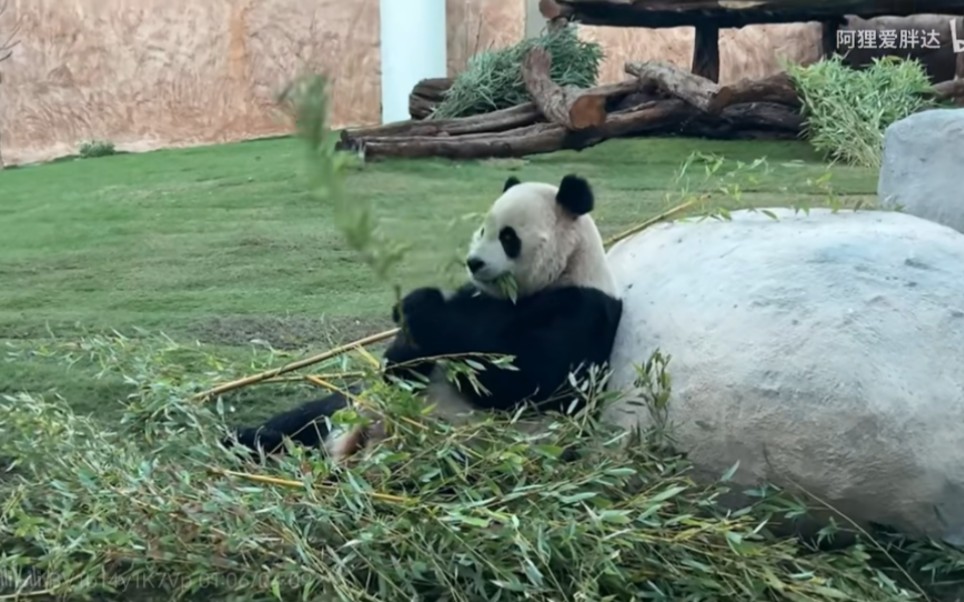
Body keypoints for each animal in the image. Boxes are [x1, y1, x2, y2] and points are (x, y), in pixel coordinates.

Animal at [222, 171, 620, 462]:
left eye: (508, 237)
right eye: (482, 229)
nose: (474, 262)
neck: (565, 269)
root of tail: (352, 447)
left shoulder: (581, 311)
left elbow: (524, 379)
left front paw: (421, 308)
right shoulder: (476, 295)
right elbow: (406, 360)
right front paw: (408, 326)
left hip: (455, 445)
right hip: (350, 406)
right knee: (309, 417)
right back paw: (247, 439)